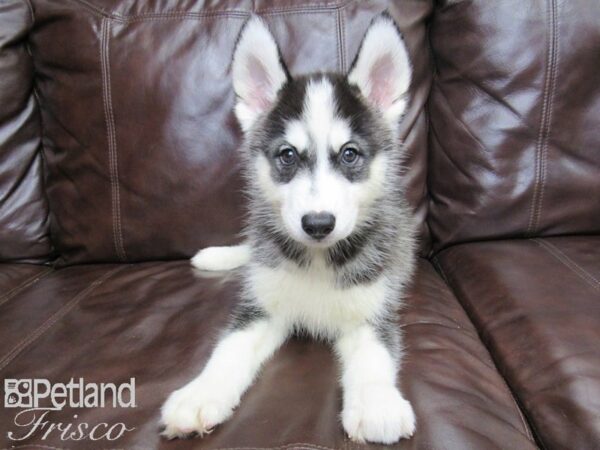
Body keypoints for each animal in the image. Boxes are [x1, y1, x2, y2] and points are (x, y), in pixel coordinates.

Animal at [162, 12, 420, 444]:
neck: (317, 258)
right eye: (287, 155)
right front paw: (199, 395)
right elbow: (228, 348)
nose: (318, 224)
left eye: (350, 154)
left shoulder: (371, 310)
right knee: (254, 245)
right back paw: (218, 256)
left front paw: (376, 404)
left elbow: (374, 354)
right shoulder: (260, 307)